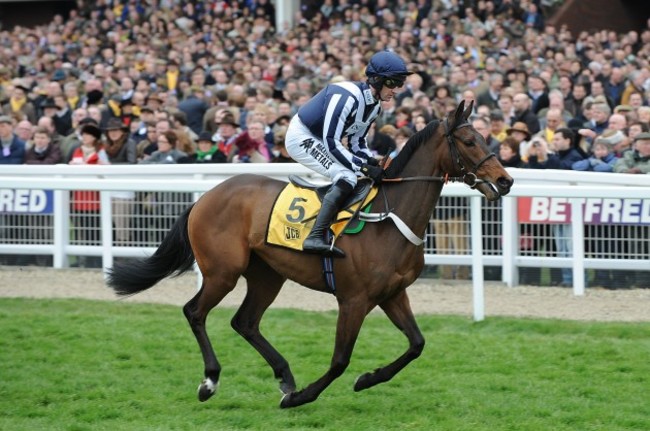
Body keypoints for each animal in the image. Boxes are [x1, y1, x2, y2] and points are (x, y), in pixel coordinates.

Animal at [106, 101, 512, 408]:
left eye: (484, 136)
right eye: (469, 140)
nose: (505, 180)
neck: (389, 216)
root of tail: (206, 197)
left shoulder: (393, 294)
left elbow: (416, 344)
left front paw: (367, 379)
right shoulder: (354, 299)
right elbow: (340, 360)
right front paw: (302, 397)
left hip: (267, 275)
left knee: (245, 322)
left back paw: (284, 376)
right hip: (223, 271)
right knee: (195, 312)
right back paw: (211, 381)